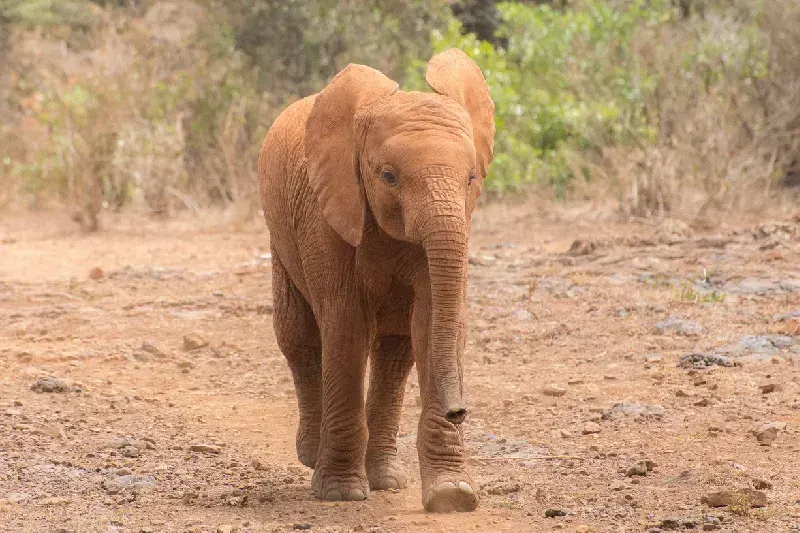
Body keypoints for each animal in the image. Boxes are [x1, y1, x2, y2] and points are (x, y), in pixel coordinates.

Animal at [258, 48, 494, 513]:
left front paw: (453, 496)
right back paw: (311, 456)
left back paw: (384, 479)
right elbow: (345, 327)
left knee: (397, 350)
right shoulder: (324, 213)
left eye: (472, 178)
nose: (459, 412)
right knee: (298, 336)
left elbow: (433, 323)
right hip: (279, 237)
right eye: (388, 177)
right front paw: (340, 494)